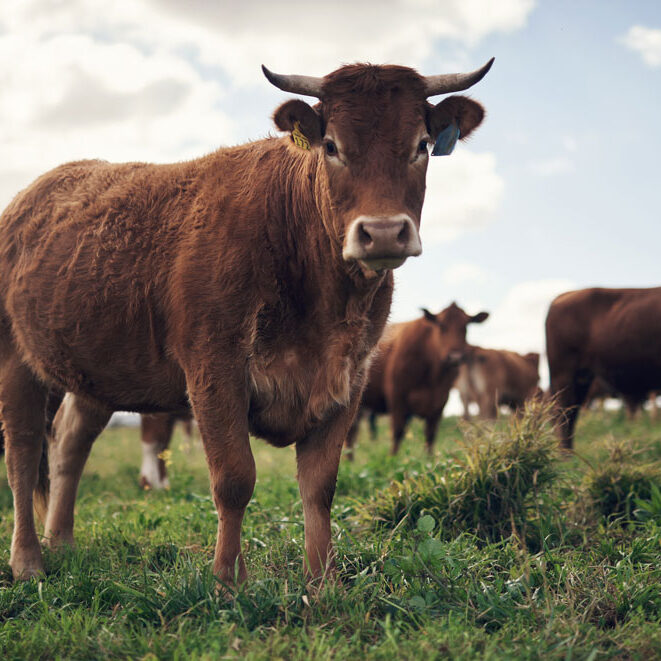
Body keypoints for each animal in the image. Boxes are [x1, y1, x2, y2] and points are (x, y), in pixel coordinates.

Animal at [346, 304, 489, 456]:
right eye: (441, 326)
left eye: (465, 327)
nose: (455, 357)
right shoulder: (397, 399)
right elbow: (397, 433)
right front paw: (393, 458)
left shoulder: (439, 404)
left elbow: (430, 436)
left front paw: (429, 458)